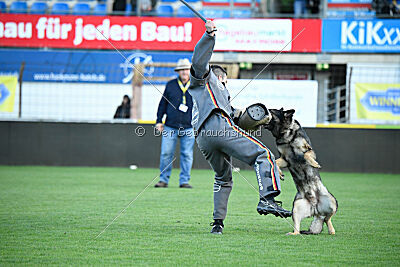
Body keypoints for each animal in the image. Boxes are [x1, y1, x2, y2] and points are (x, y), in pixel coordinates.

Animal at [266, 109, 338, 237]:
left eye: (273, 111)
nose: (267, 110)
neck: (287, 136)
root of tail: (316, 209)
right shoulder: (285, 159)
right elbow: (274, 161)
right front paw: (280, 174)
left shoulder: (309, 150)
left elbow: (305, 155)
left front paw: (314, 164)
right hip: (296, 208)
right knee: (299, 229)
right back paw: (293, 233)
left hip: (333, 202)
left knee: (327, 219)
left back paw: (331, 230)